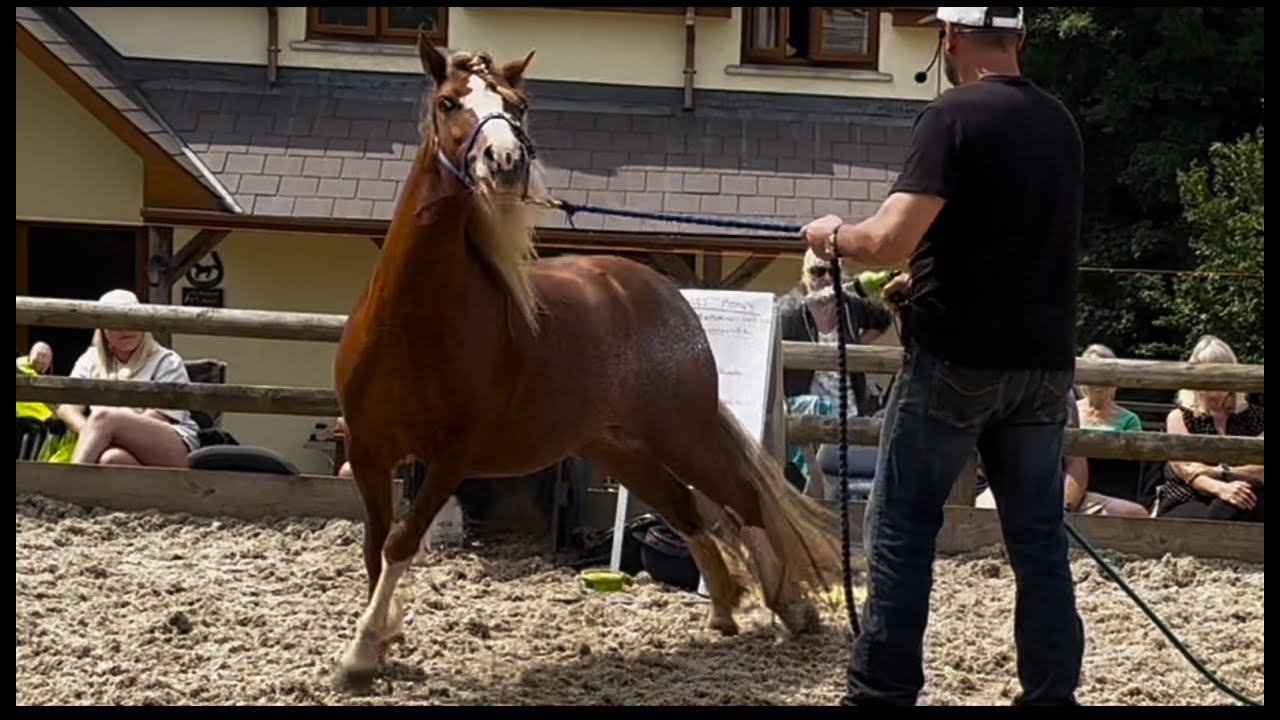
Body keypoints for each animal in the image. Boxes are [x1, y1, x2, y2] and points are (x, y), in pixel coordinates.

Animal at [331, 32, 847, 689]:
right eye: (449, 102)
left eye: (517, 106)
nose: (505, 160)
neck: (412, 322)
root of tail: (664, 294)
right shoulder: (369, 448)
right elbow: (375, 544)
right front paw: (382, 639)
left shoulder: (453, 458)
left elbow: (401, 541)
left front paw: (360, 650)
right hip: (617, 448)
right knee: (685, 508)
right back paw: (726, 609)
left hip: (682, 434)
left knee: (743, 499)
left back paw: (791, 608)